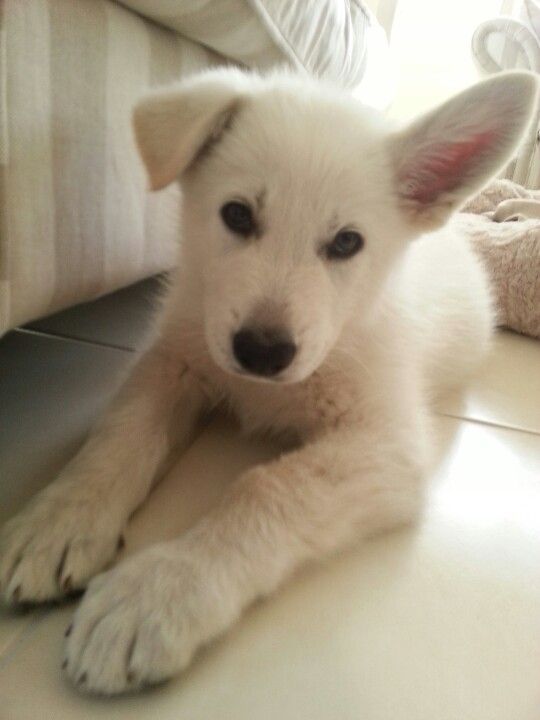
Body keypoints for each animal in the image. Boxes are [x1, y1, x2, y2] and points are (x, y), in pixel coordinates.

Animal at [0, 69, 536, 692]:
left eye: (347, 242)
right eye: (237, 215)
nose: (261, 352)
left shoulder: (385, 444)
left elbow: (266, 488)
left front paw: (159, 592)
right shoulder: (173, 361)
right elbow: (121, 434)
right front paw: (59, 520)